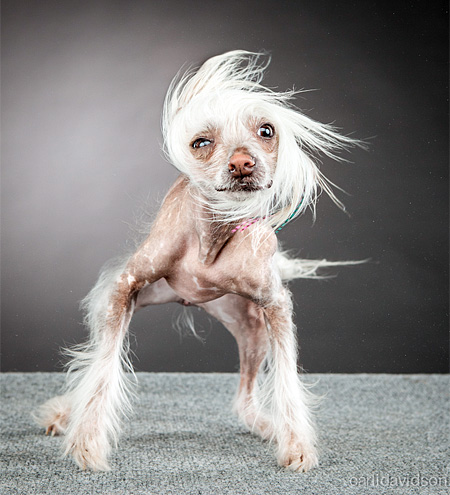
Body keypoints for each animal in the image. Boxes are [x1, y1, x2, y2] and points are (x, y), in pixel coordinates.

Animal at [36, 50, 358, 472]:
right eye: (201, 142)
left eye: (266, 131)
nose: (242, 164)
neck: (211, 241)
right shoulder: (124, 289)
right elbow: (103, 368)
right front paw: (87, 440)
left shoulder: (274, 305)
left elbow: (287, 377)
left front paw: (297, 444)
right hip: (125, 301)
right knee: (92, 362)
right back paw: (64, 414)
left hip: (249, 327)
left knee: (244, 401)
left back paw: (266, 426)